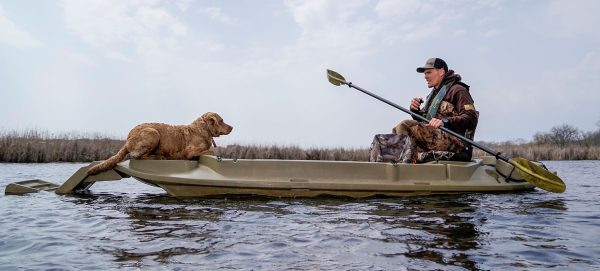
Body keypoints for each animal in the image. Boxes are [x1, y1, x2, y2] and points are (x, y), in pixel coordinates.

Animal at [86, 112, 232, 176]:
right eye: (221, 120)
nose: (232, 127)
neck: (203, 129)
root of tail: (127, 139)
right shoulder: (190, 152)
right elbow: (211, 150)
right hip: (153, 133)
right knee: (137, 156)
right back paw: (159, 157)